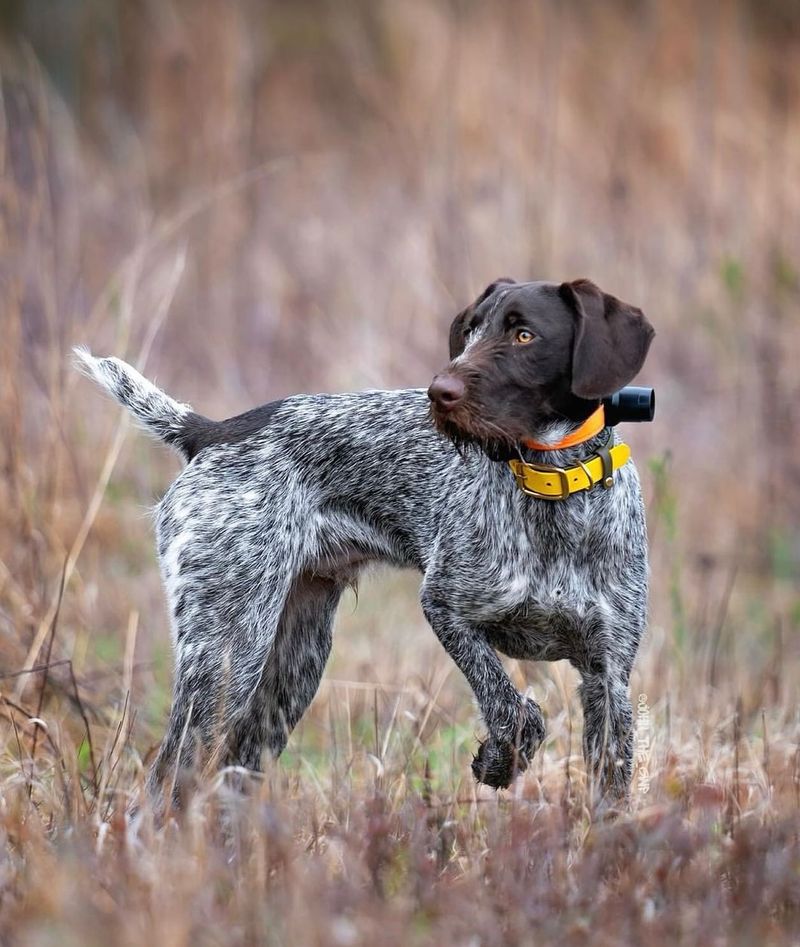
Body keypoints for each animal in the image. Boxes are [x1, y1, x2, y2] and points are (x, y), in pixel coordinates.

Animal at [75, 278, 652, 804]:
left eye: (524, 334)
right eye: (469, 333)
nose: (438, 392)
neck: (554, 489)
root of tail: (213, 431)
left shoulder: (607, 678)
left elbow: (605, 791)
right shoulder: (445, 608)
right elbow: (511, 707)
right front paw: (497, 760)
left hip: (290, 667)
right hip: (227, 656)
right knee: (168, 781)